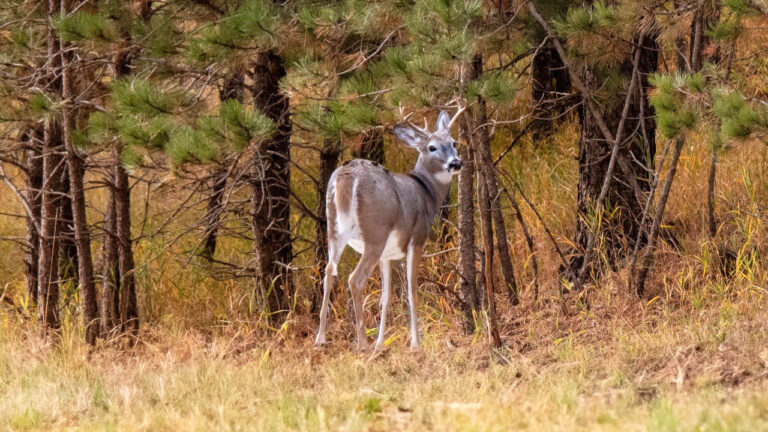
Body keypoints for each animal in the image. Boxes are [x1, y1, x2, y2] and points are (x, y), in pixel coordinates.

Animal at [315, 106, 465, 351]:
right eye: (432, 147)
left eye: (453, 142)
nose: (456, 163)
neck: (428, 193)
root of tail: (346, 177)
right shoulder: (417, 239)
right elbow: (412, 292)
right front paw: (415, 343)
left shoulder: (387, 255)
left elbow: (385, 298)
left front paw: (381, 343)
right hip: (376, 231)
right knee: (354, 279)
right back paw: (362, 343)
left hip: (334, 229)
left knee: (328, 272)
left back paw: (321, 339)